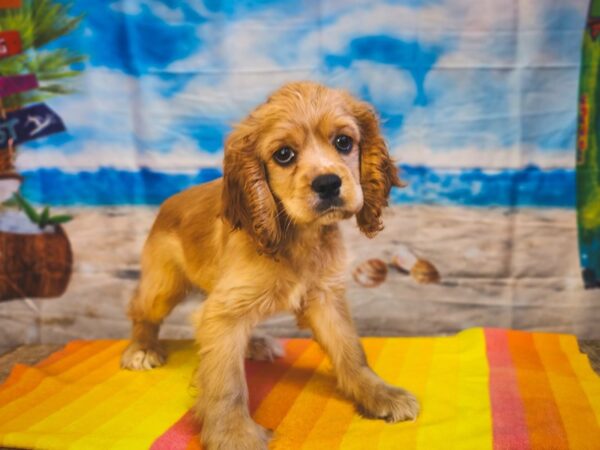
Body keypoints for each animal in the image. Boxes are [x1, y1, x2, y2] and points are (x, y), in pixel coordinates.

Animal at [121, 81, 420, 450]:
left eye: (343, 142)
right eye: (284, 155)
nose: (328, 183)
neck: (298, 237)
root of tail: (169, 202)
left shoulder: (324, 298)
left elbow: (350, 351)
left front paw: (379, 393)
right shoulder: (225, 311)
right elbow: (226, 381)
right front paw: (233, 433)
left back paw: (256, 344)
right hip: (163, 285)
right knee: (141, 310)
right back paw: (143, 348)